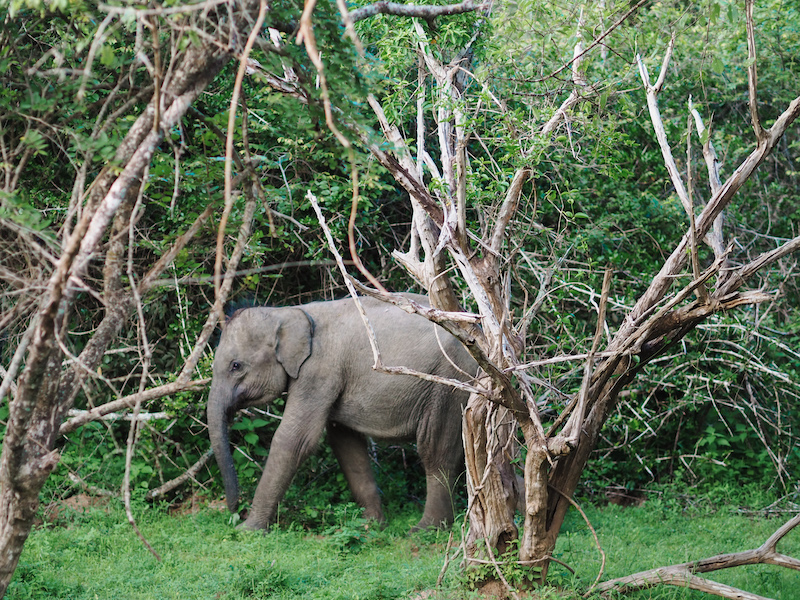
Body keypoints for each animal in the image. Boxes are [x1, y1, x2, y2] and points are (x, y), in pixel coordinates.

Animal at [209, 292, 478, 532]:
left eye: (236, 366)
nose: (235, 510)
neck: (286, 312)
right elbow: (345, 443)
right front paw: (371, 526)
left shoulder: (318, 370)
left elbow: (295, 440)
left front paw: (248, 530)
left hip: (449, 382)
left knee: (435, 451)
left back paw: (426, 530)